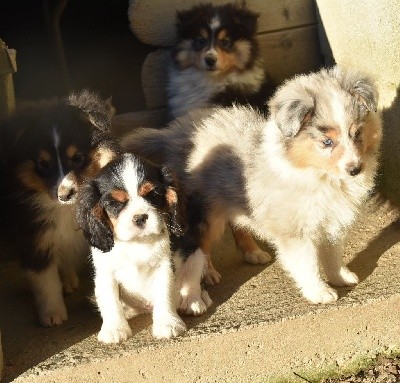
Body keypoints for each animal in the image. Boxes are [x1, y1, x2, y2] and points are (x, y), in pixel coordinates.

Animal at [0, 91, 119, 328]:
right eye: (43, 164)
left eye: (77, 158)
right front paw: (53, 315)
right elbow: (45, 282)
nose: (64, 195)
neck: (68, 209)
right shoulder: (34, 238)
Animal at [77, 154, 188, 344]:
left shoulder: (164, 267)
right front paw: (115, 329)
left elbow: (164, 294)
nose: (140, 217)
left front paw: (168, 323)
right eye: (115, 203)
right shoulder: (106, 274)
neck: (136, 242)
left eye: (153, 195)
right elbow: (110, 301)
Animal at [123, 67, 382, 308]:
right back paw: (197, 291)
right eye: (327, 142)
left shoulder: (333, 221)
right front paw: (319, 292)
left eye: (357, 133)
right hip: (202, 213)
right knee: (193, 250)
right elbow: (306, 262)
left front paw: (341, 277)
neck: (319, 174)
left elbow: (332, 254)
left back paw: (250, 254)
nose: (355, 169)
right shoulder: (294, 230)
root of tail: (173, 135)